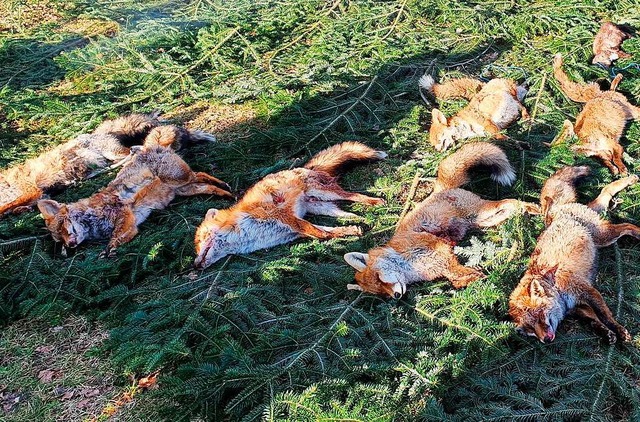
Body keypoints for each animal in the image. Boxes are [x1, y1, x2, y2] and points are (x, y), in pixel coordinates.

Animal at [0, 112, 215, 218]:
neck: (8, 185)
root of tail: (96, 133)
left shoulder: (33, 191)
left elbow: (6, 207)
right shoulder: (39, 195)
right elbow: (14, 207)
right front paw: (20, 210)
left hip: (111, 152)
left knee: (130, 153)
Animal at [38, 125, 231, 258]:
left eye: (62, 227)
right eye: (60, 240)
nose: (70, 245)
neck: (92, 220)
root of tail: (150, 147)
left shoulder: (124, 215)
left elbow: (114, 237)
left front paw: (108, 249)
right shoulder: (131, 226)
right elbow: (120, 238)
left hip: (179, 179)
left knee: (200, 174)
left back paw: (224, 186)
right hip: (184, 189)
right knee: (206, 185)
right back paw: (226, 193)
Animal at [192, 141, 388, 268]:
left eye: (200, 241)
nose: (195, 265)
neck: (243, 235)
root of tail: (304, 167)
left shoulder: (283, 217)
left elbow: (318, 232)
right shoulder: (292, 233)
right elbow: (325, 233)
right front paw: (349, 231)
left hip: (323, 192)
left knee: (353, 195)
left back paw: (376, 202)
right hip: (321, 206)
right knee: (347, 213)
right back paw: (362, 219)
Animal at [508, 165, 636, 342]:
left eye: (540, 316)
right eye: (530, 330)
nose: (545, 340)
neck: (554, 285)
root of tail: (553, 213)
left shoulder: (587, 290)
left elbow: (605, 315)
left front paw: (619, 329)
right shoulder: (577, 306)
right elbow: (592, 320)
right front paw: (606, 333)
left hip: (604, 236)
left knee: (627, 225)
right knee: (606, 192)